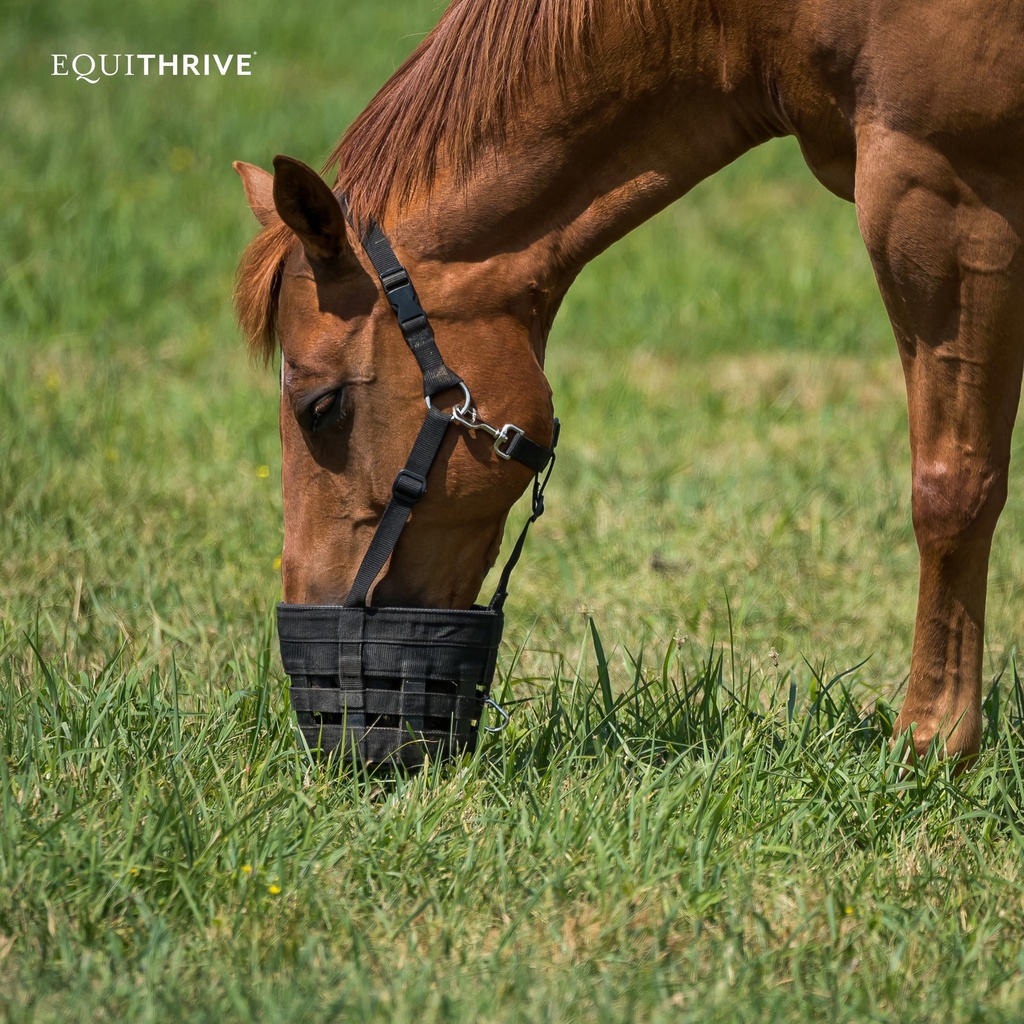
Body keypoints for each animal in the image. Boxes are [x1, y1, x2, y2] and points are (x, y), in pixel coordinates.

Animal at [234, 0, 1024, 765]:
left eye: (321, 407)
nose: (320, 718)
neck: (765, 17)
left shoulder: (946, 193)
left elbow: (952, 488)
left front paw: (931, 746)